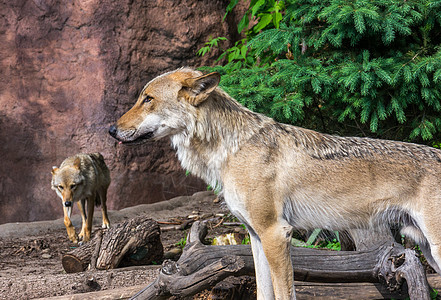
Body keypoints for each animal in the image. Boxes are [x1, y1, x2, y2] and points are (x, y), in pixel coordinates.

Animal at [107, 68, 440, 300]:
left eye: (147, 99)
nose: (111, 129)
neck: (231, 150)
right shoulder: (256, 237)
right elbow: (262, 293)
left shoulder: (276, 234)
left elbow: (283, 293)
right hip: (428, 253)